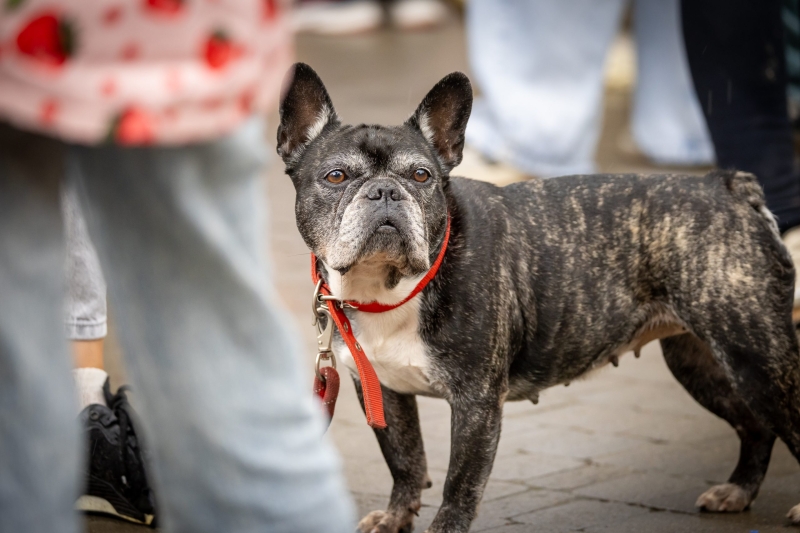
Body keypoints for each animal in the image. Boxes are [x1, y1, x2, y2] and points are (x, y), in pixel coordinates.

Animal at [278, 63, 800, 532]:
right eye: (336, 177)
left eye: (423, 176)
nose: (386, 190)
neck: (388, 287)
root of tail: (726, 186)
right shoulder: (384, 390)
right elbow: (406, 461)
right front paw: (394, 517)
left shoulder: (477, 404)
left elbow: (458, 486)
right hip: (699, 361)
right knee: (755, 426)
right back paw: (739, 490)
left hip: (757, 356)